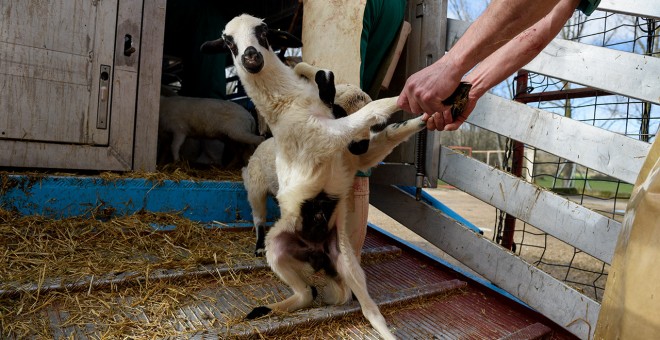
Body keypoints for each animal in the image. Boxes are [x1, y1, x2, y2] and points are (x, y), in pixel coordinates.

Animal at [200, 13, 428, 340]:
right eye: (227, 42)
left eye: (264, 32)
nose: (251, 57)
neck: (286, 104)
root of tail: (317, 257)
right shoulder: (326, 136)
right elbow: (373, 109)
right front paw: (418, 96)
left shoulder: (353, 156)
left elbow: (386, 133)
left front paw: (425, 116)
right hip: (276, 242)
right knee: (302, 285)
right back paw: (264, 306)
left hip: (346, 261)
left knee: (365, 309)